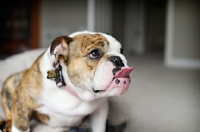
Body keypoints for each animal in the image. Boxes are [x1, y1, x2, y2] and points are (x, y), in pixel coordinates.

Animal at [1, 31, 134, 132]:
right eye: (94, 53)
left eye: (121, 51)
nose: (118, 59)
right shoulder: (21, 99)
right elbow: (21, 125)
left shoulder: (100, 111)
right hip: (11, 82)